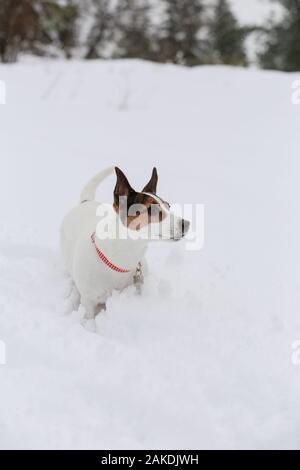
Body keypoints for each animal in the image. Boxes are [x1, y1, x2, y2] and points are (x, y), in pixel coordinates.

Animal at [60, 166, 190, 320]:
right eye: (151, 209)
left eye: (168, 206)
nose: (187, 224)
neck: (121, 260)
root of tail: (86, 201)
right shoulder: (88, 301)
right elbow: (90, 319)